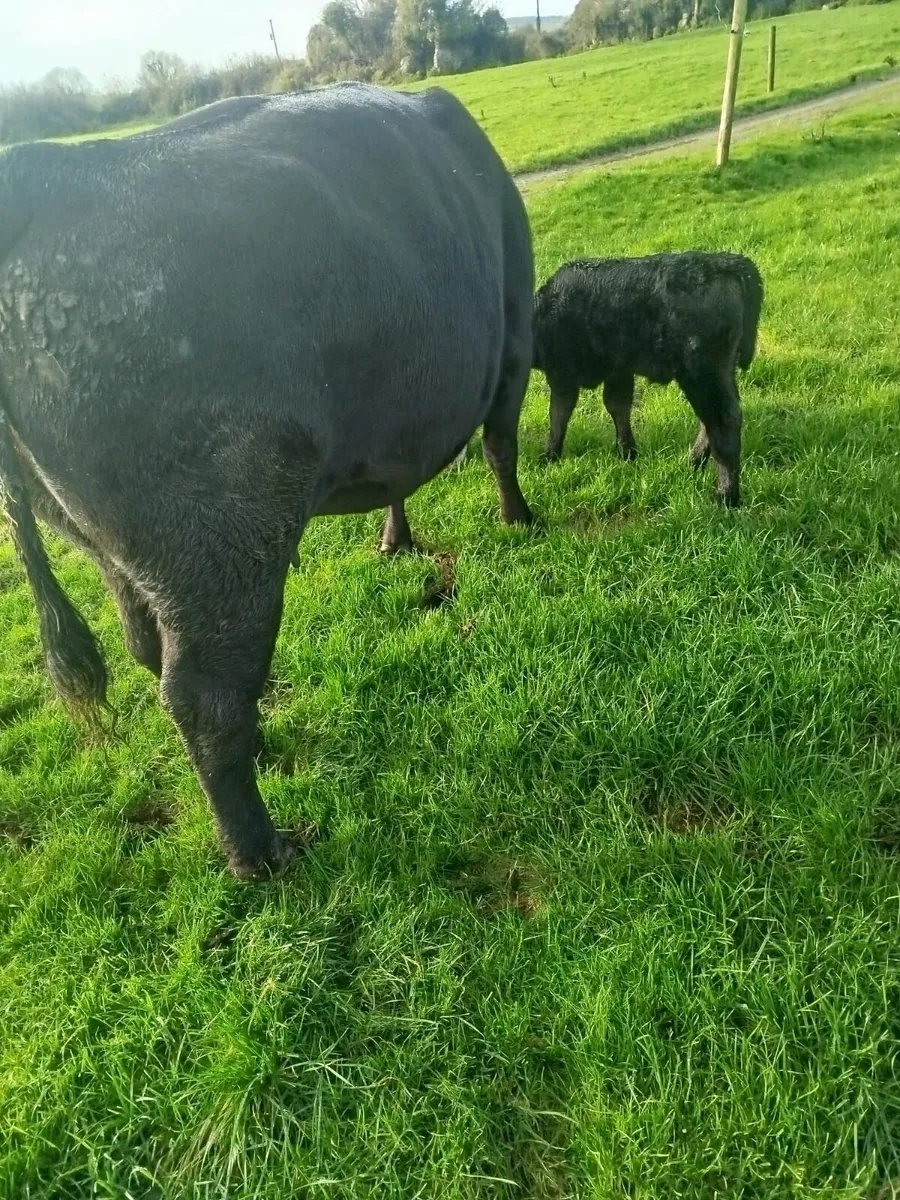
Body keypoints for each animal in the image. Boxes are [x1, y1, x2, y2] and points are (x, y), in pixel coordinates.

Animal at [0, 84, 535, 880]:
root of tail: (45, 173)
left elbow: (399, 478)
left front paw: (395, 540)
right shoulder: (515, 334)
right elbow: (502, 444)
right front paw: (519, 518)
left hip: (107, 544)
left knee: (151, 653)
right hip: (219, 546)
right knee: (205, 696)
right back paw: (262, 852)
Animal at [531, 252, 764, 506]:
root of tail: (727, 263)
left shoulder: (562, 373)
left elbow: (558, 414)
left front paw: (549, 456)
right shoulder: (619, 370)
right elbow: (618, 406)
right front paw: (627, 453)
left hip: (702, 372)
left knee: (723, 419)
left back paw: (725, 495)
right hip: (720, 372)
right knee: (711, 419)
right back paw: (692, 462)